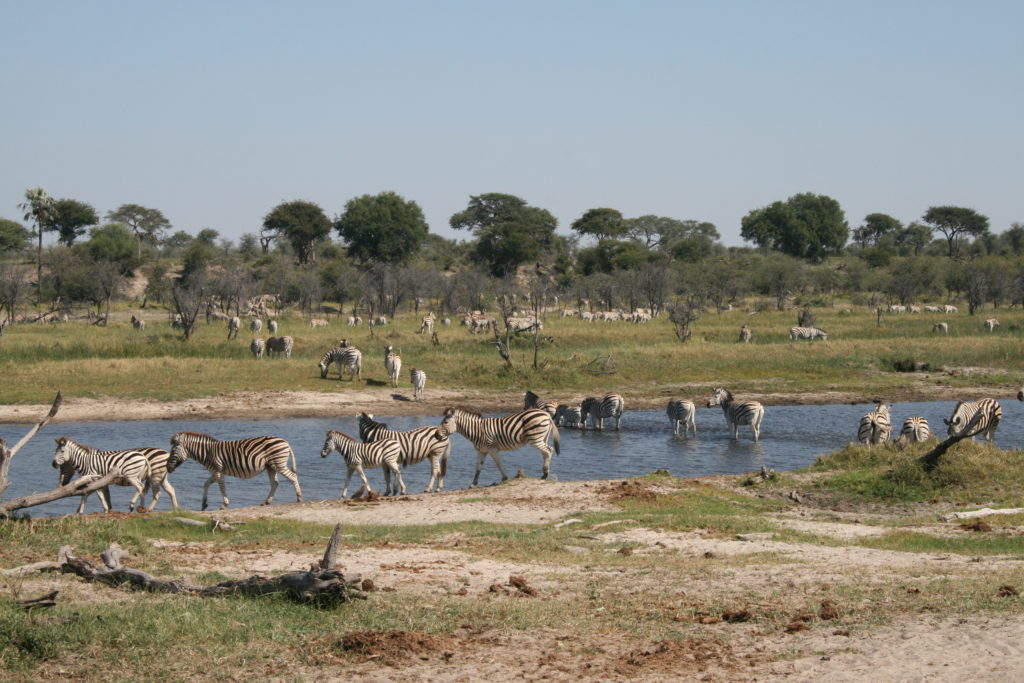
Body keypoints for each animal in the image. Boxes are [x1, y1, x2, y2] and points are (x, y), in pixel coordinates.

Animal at [167, 431, 302, 510]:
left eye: (173, 451)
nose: (167, 468)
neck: (207, 453)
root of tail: (285, 441)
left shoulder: (217, 470)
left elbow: (221, 487)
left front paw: (224, 504)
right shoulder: (215, 471)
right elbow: (205, 484)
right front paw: (204, 504)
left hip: (278, 464)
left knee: (293, 477)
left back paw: (299, 498)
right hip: (271, 466)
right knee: (275, 483)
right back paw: (266, 502)